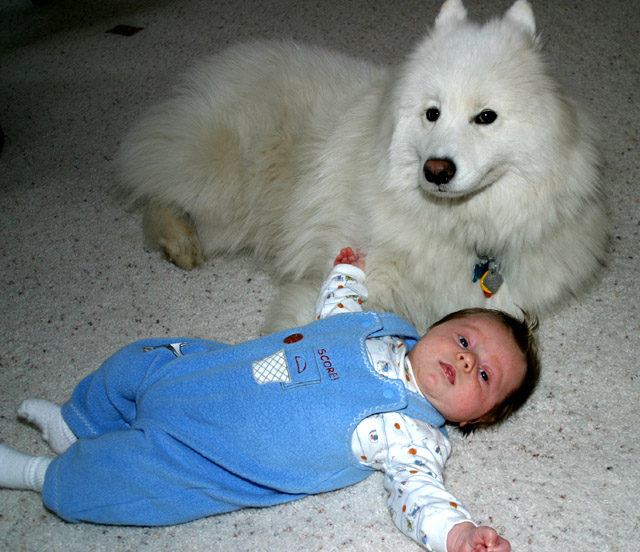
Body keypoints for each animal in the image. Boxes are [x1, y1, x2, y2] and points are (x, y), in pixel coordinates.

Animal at [119, 1, 604, 332]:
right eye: (432, 113)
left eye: (486, 117)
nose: (436, 170)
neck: (459, 226)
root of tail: (217, 63)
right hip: (224, 179)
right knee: (154, 188)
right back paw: (179, 241)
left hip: (240, 218)